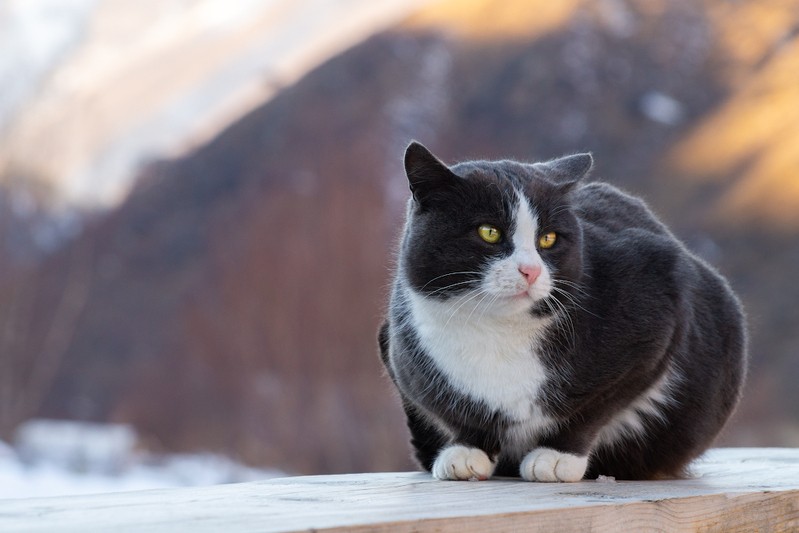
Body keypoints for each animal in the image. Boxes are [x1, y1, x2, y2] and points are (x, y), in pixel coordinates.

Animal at [378, 141, 748, 482]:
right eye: (489, 232)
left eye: (549, 238)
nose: (530, 271)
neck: (498, 330)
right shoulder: (404, 354)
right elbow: (463, 416)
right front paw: (467, 450)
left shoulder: (659, 300)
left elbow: (599, 404)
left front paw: (557, 457)